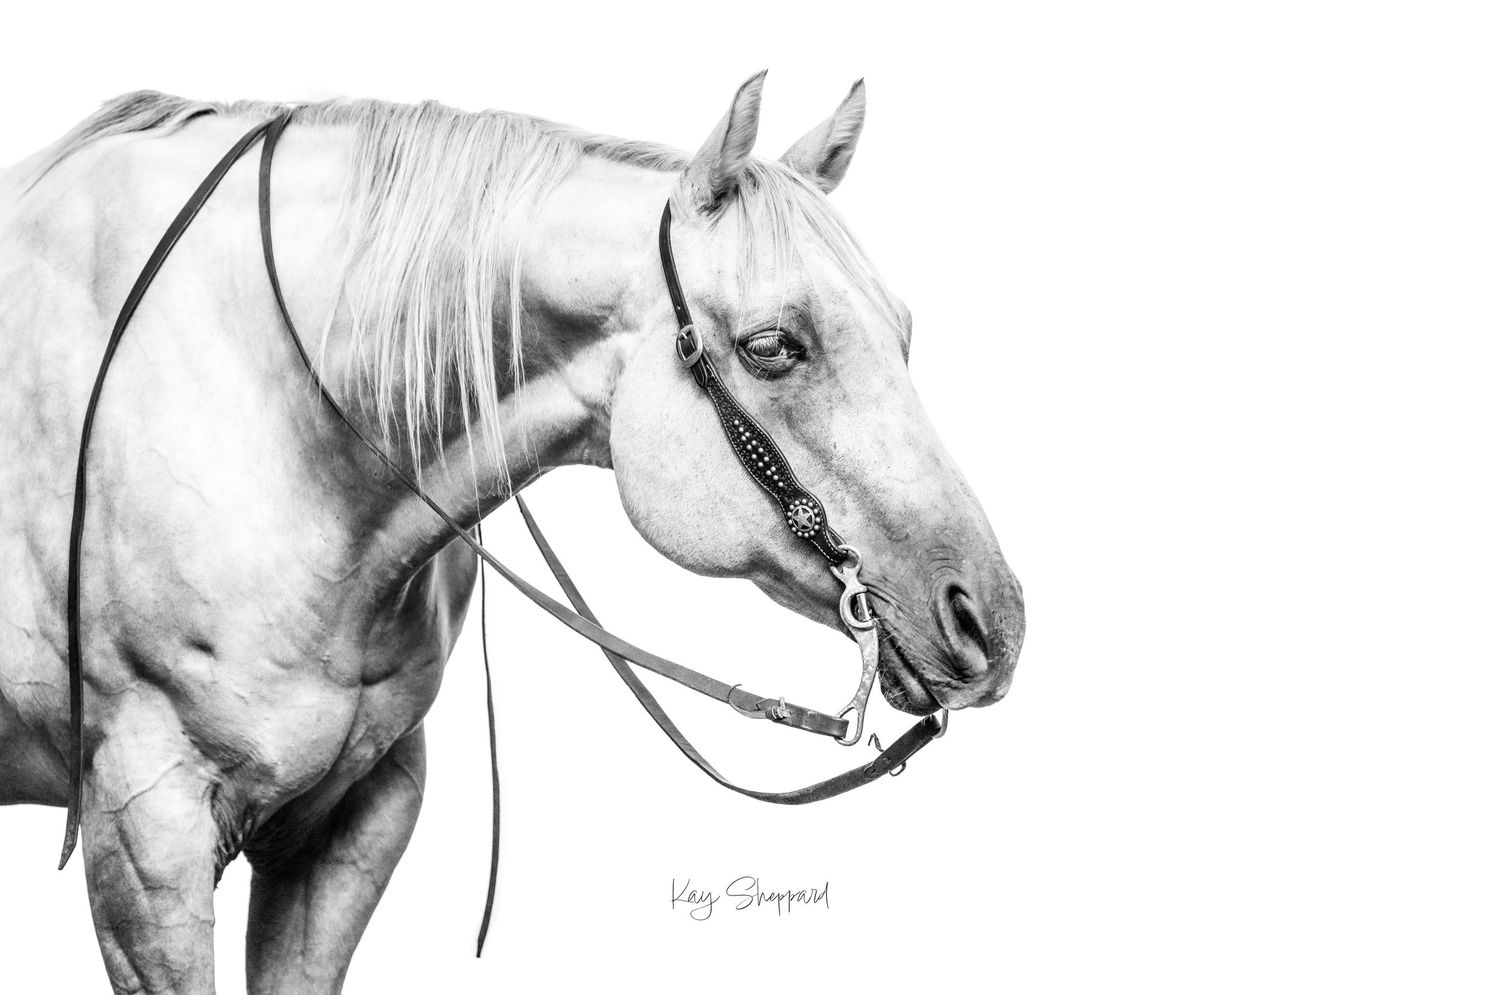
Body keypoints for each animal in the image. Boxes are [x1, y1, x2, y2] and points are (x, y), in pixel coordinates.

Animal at [0, 72, 1025, 993]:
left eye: (902, 330)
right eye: (774, 345)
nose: (992, 622)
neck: (274, 413)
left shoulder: (351, 820)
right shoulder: (146, 835)